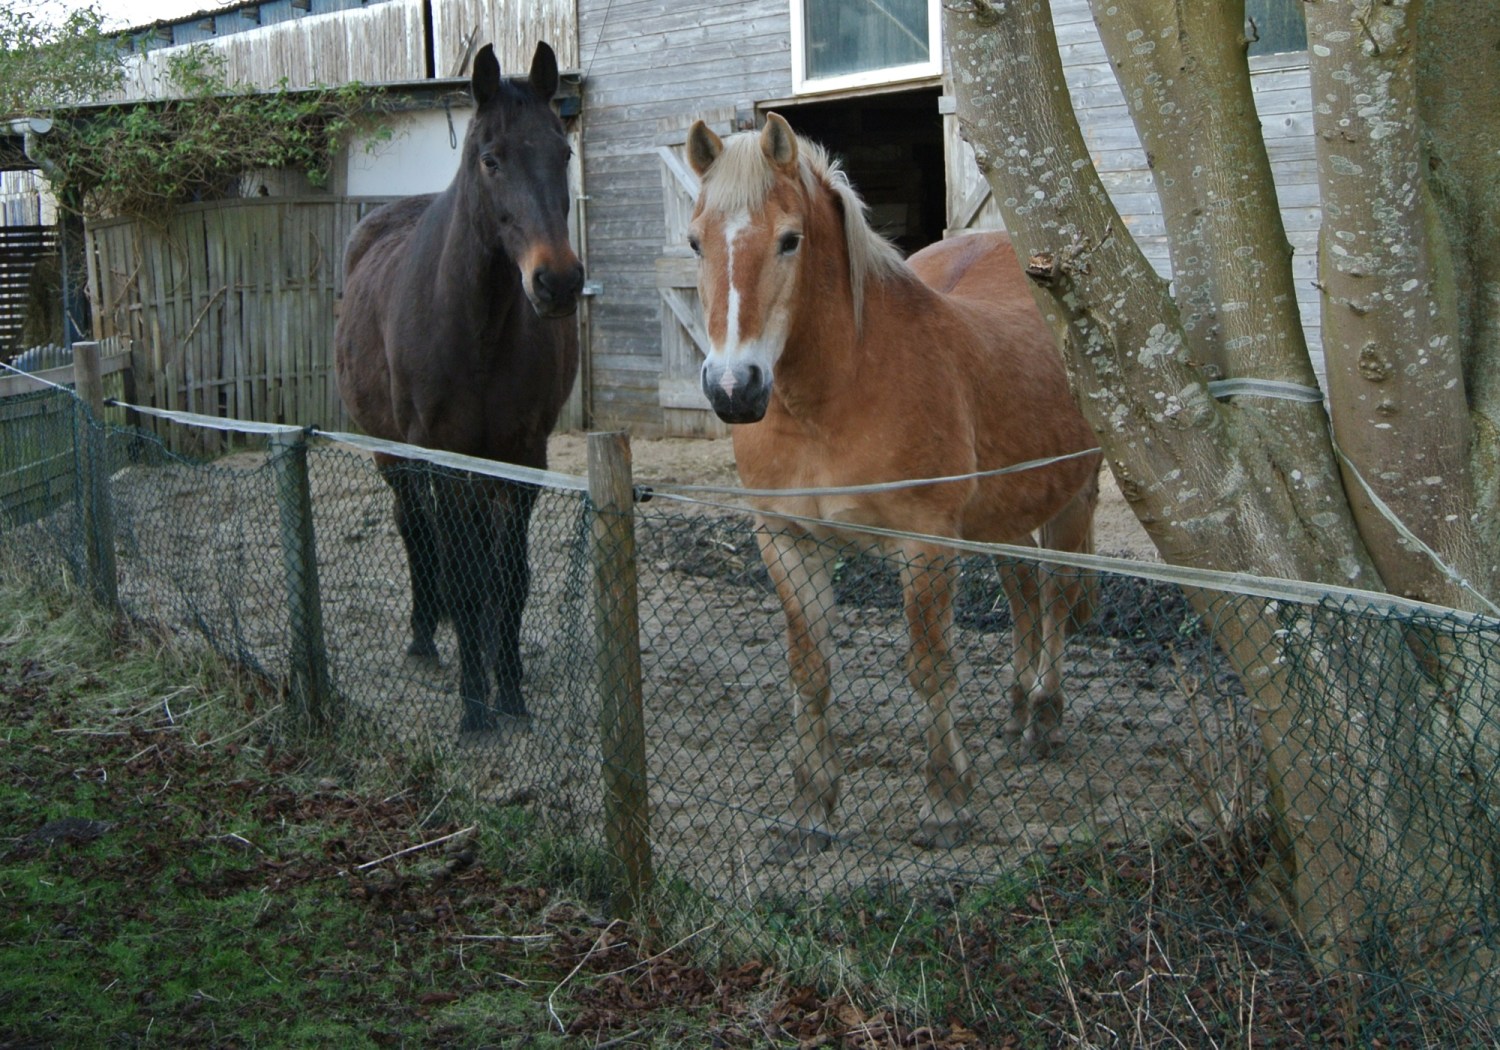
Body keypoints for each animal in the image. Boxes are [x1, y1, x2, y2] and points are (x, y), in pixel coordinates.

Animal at [334, 42, 583, 732]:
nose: (558, 283)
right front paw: (476, 706)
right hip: (395, 454)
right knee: (414, 528)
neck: (478, 329)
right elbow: (467, 576)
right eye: (490, 159)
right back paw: (425, 633)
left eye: (563, 154)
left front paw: (512, 693)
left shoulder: (523, 457)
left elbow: (509, 576)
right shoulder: (446, 458)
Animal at [685, 114, 1101, 856]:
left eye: (789, 239)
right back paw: (1017, 707)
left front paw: (945, 803)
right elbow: (810, 671)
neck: (835, 394)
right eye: (694, 240)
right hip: (1004, 517)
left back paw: (1045, 716)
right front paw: (811, 808)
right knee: (1025, 595)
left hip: (1070, 502)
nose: (734, 388)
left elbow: (930, 667)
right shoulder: (787, 541)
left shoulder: (926, 544)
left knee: (1054, 598)